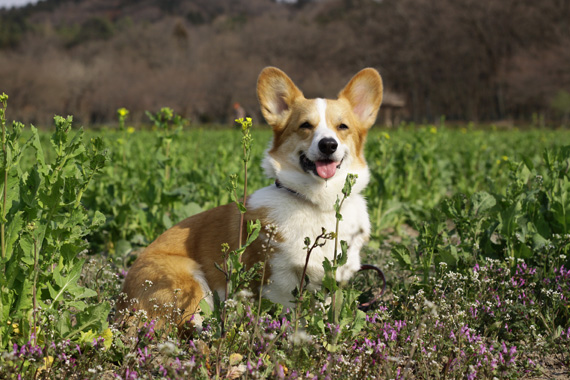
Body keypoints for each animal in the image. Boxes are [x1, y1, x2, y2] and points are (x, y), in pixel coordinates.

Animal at [116, 67, 382, 326]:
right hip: (189, 280)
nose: (328, 144)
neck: (318, 203)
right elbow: (285, 313)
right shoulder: (277, 282)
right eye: (306, 125)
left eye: (343, 127)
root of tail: (121, 305)